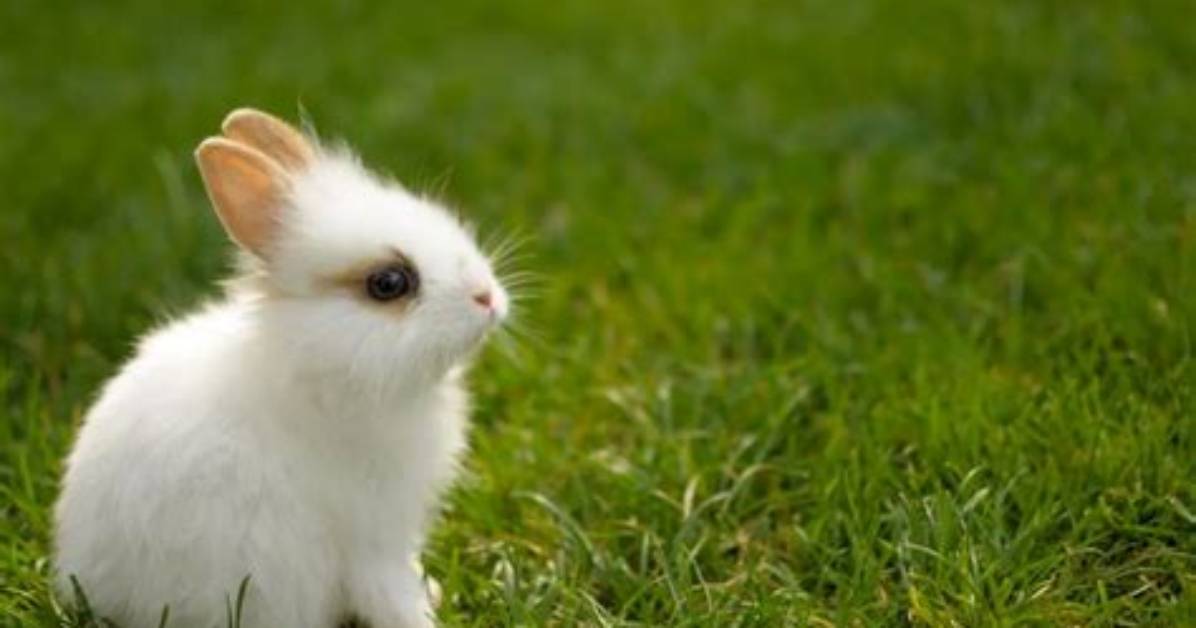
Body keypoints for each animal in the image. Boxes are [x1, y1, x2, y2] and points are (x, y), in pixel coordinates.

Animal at [53, 108, 509, 628]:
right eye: (389, 283)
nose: (488, 297)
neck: (319, 370)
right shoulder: (372, 538)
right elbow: (389, 593)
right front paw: (423, 617)